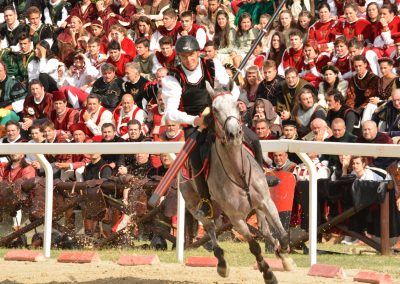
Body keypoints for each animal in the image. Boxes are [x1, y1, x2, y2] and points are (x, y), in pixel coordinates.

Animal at [180, 81, 296, 284]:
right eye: (215, 109)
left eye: (236, 105)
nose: (233, 133)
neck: (238, 172)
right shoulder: (235, 218)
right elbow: (254, 246)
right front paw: (268, 273)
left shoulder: (266, 203)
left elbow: (281, 235)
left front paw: (283, 254)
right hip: (195, 204)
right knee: (210, 228)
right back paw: (221, 263)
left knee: (265, 231)